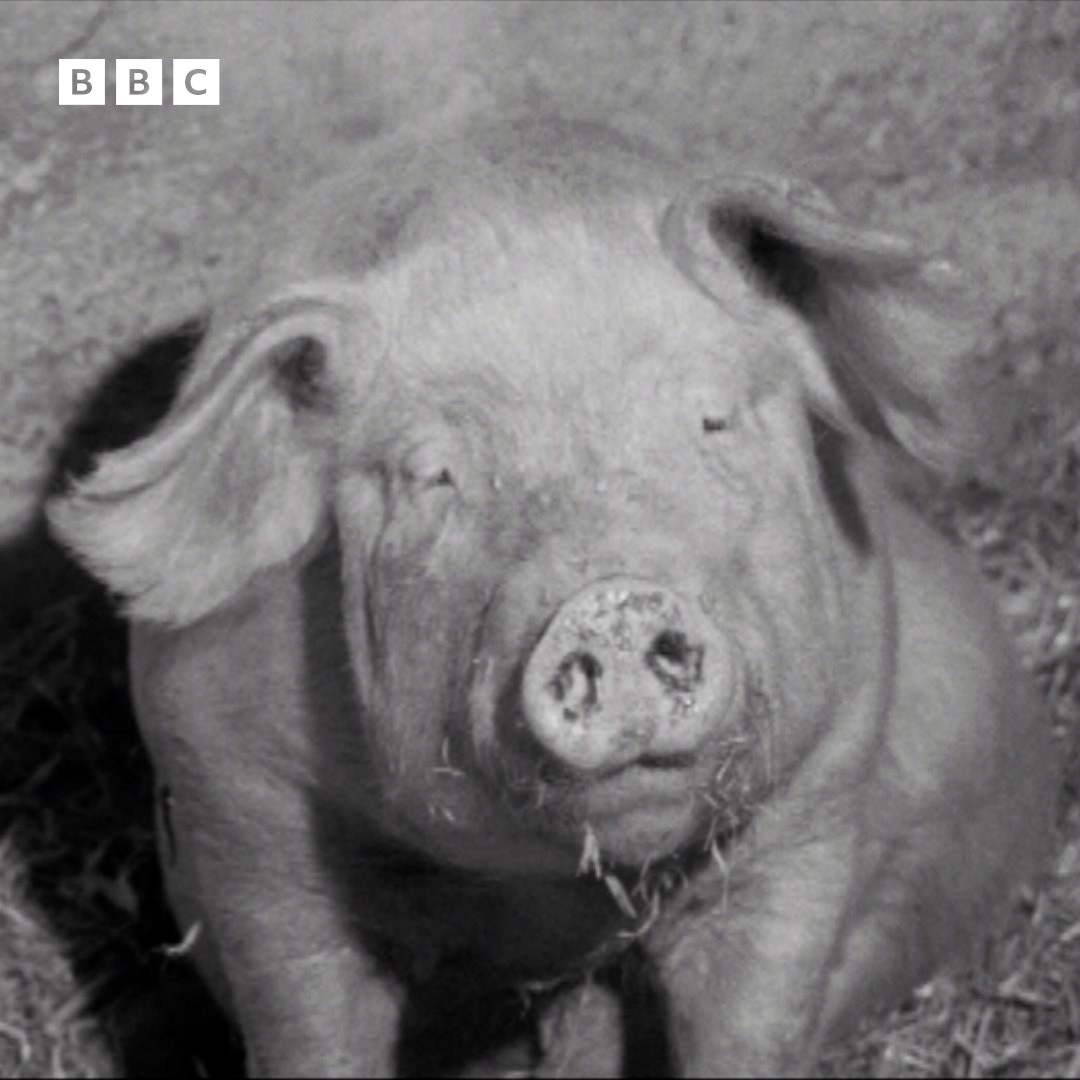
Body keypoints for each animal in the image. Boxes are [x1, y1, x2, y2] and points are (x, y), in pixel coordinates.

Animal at [49, 119, 1057, 1077]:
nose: (612, 601)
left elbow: (754, 1024)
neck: (543, 896)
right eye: (433, 477)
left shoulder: (817, 792)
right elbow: (307, 1028)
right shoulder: (240, 813)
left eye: (712, 419)